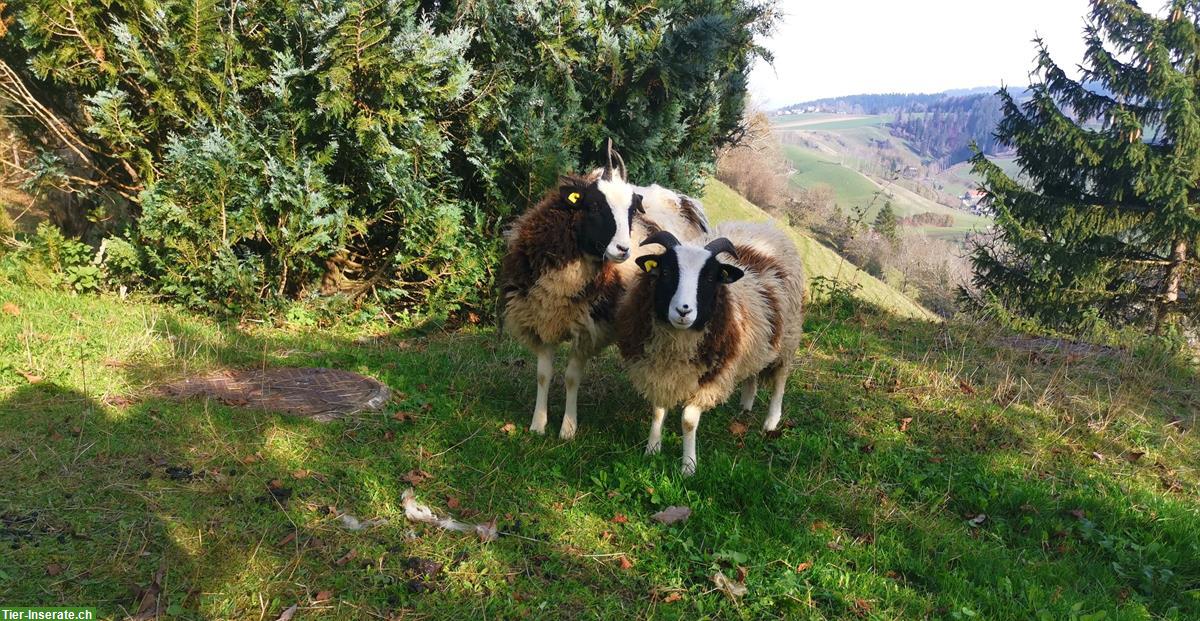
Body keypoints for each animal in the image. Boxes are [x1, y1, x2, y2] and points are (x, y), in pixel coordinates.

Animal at [619, 222, 806, 477]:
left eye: (708, 278)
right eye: (666, 272)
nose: (683, 310)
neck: (677, 344)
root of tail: (763, 226)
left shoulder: (711, 379)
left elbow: (688, 421)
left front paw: (688, 466)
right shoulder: (656, 371)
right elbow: (658, 410)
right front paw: (652, 450)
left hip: (787, 339)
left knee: (780, 380)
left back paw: (771, 422)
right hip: (757, 342)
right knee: (752, 374)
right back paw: (745, 406)